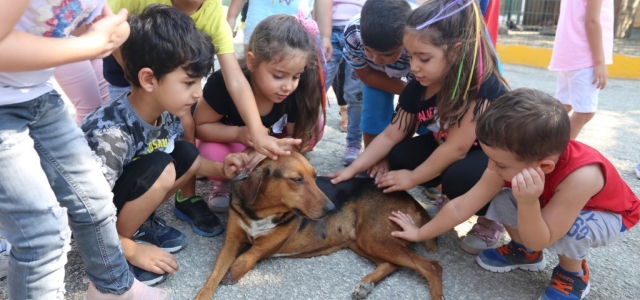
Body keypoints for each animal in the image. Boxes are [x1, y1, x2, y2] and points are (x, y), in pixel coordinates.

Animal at [195, 154, 444, 298]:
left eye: (315, 177)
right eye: (297, 179)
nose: (332, 208)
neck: (261, 212)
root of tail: (410, 198)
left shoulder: (268, 245)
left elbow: (251, 255)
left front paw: (236, 268)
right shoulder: (232, 241)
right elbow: (214, 274)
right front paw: (204, 293)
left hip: (374, 238)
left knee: (432, 266)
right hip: (361, 241)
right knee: (393, 264)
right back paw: (366, 284)